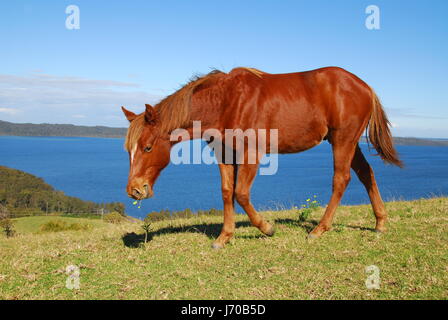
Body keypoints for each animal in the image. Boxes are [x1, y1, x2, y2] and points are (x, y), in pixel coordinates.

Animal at [121, 66, 402, 249]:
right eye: (128, 150)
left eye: (147, 147)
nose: (134, 190)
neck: (226, 101)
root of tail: (364, 86)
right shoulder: (224, 153)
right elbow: (227, 191)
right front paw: (225, 236)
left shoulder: (251, 154)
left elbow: (242, 193)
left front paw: (267, 228)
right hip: (345, 141)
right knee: (366, 173)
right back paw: (380, 222)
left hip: (344, 140)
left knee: (341, 179)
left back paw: (319, 229)